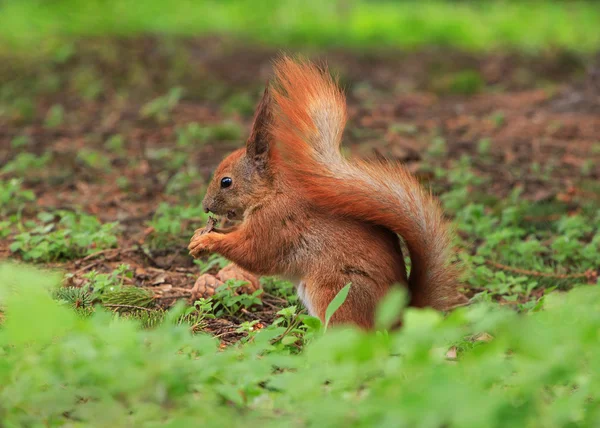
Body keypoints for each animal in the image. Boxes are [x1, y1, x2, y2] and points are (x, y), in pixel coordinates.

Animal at [190, 55, 466, 330]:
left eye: (226, 182)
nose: (205, 207)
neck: (271, 193)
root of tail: (398, 320)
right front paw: (200, 234)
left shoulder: (277, 224)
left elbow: (252, 254)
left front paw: (207, 241)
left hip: (333, 291)